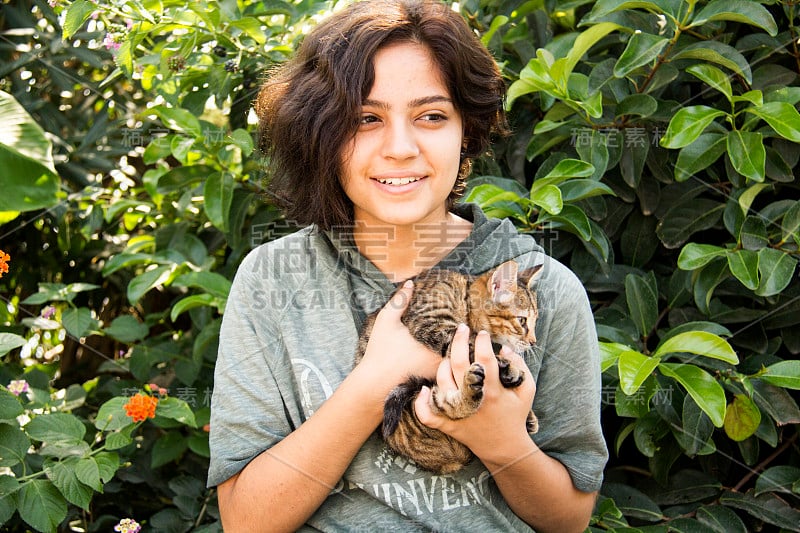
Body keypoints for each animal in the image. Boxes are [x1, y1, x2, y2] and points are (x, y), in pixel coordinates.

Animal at [356, 260, 544, 472]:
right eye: (522, 321)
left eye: (535, 321)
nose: (533, 342)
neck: (464, 296)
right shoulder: (432, 323)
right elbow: (469, 346)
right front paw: (505, 367)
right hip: (416, 409)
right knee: (445, 406)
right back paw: (471, 389)